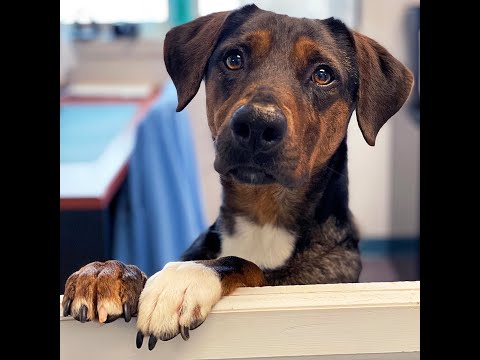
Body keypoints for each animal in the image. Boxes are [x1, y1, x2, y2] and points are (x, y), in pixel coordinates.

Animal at [61, 3, 412, 352]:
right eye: (234, 59)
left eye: (323, 75)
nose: (257, 124)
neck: (263, 216)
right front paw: (107, 272)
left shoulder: (311, 280)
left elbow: (246, 264)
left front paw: (184, 278)